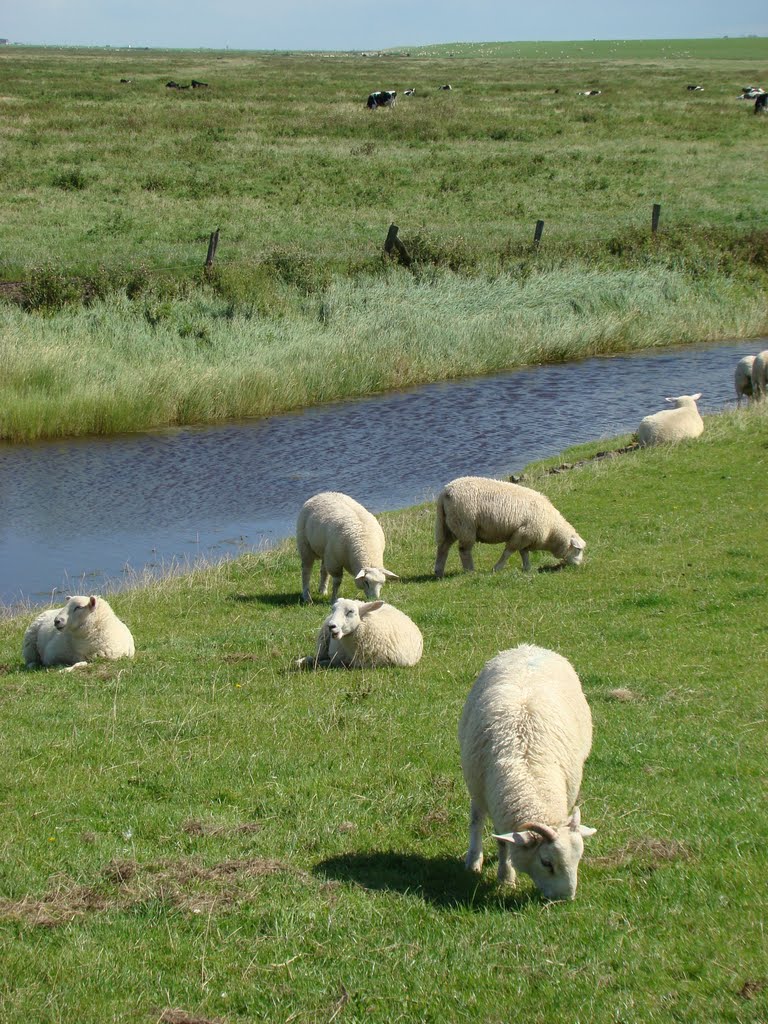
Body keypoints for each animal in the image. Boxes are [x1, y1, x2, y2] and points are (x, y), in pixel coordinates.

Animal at [436, 471, 585, 577]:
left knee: (443, 547)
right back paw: (470, 571)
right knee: (464, 551)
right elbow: (508, 552)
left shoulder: (525, 535)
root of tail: (446, 491)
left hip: (449, 525)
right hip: (465, 525)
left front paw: (527, 568)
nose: (579, 566)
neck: (551, 530)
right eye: (578, 550)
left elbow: (524, 553)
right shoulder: (523, 533)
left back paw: (438, 572)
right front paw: (497, 568)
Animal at [460, 643, 598, 901]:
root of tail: (529, 646)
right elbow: (502, 843)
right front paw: (506, 877)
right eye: (546, 862)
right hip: (475, 785)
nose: (565, 900)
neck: (529, 774)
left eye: (578, 859)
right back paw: (473, 860)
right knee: (476, 820)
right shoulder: (494, 800)